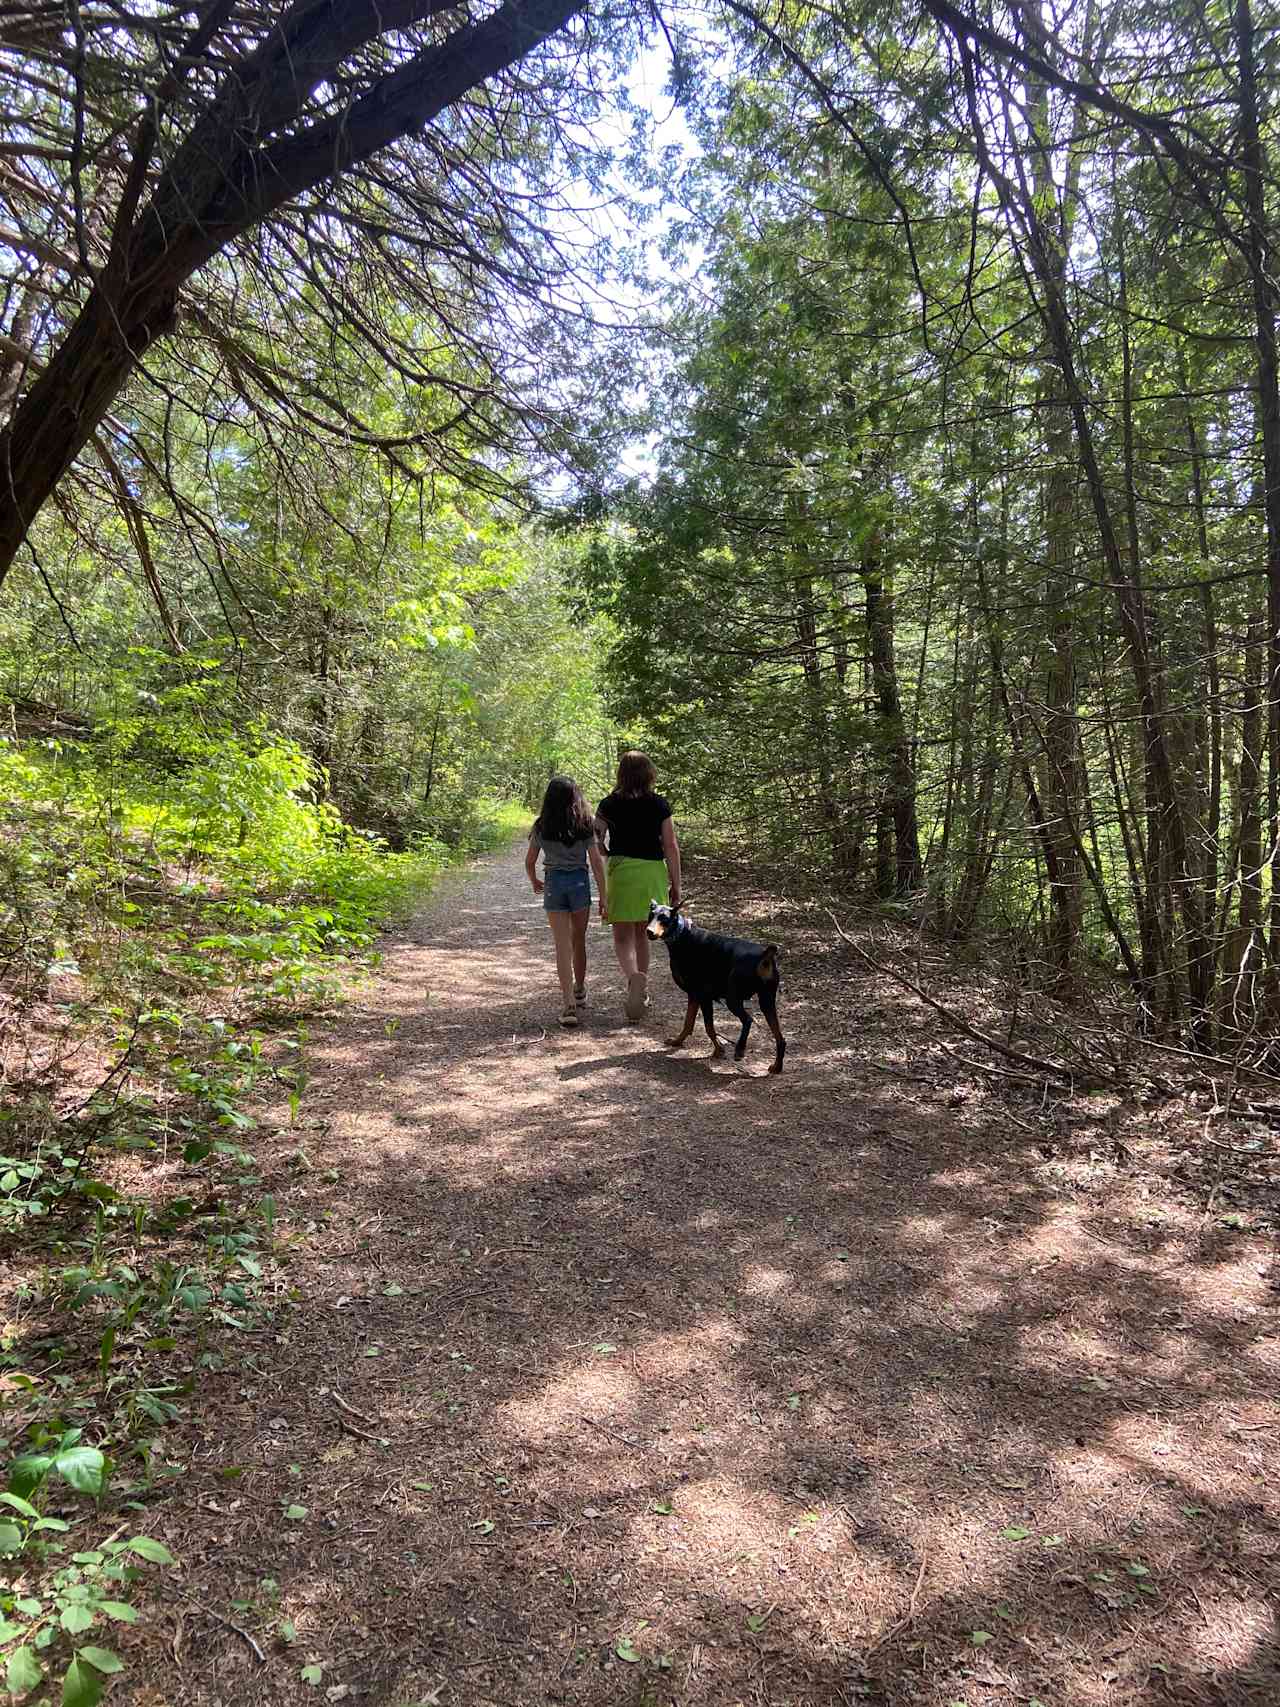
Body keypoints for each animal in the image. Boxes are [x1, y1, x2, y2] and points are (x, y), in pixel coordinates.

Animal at [645, 901, 788, 1071]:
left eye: (664, 918)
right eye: (650, 915)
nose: (649, 931)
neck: (681, 935)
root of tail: (764, 956)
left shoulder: (703, 996)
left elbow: (709, 1028)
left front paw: (719, 1050)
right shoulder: (694, 995)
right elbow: (688, 1024)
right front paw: (677, 1042)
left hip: (733, 999)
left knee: (748, 1020)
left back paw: (740, 1049)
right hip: (767, 1001)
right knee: (780, 1038)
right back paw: (776, 1066)